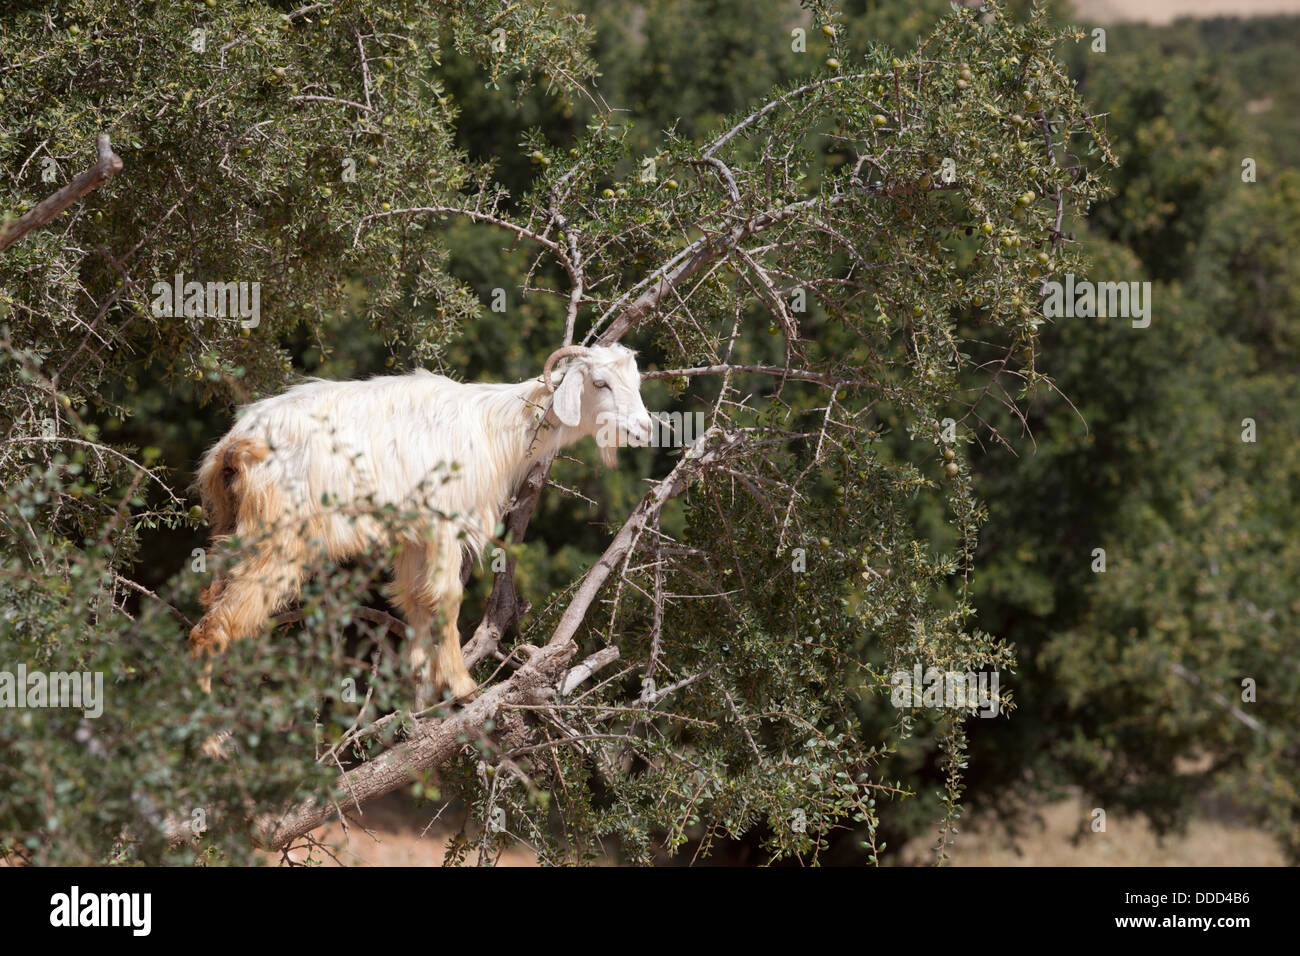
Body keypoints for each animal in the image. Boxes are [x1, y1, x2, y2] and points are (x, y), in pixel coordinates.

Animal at [188, 343, 655, 702]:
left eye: (636, 382)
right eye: (600, 383)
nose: (645, 428)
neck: (494, 427)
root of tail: (237, 444)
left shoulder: (412, 533)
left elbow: (414, 597)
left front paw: (419, 679)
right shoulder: (444, 520)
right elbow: (445, 596)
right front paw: (461, 685)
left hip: (230, 525)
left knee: (209, 601)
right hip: (279, 533)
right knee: (219, 624)